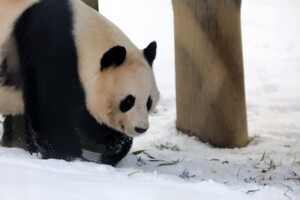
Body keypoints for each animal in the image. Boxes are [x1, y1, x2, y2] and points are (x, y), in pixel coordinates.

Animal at [0, 0, 159, 166]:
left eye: (148, 101)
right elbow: (51, 112)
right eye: (128, 101)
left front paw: (113, 150)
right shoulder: (48, 50)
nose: (140, 128)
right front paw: (71, 157)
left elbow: (90, 121)